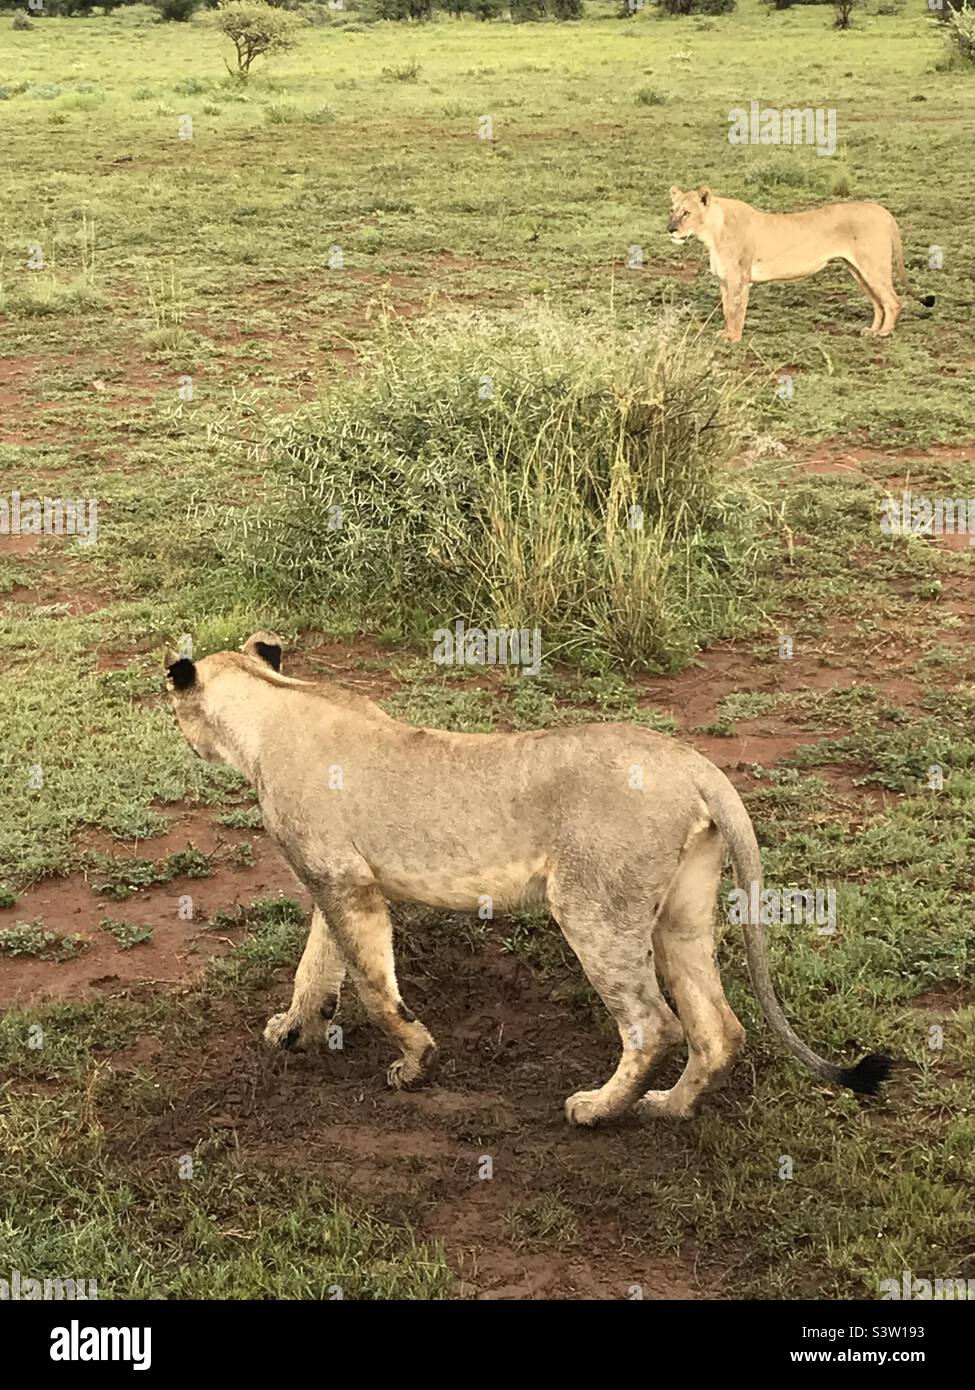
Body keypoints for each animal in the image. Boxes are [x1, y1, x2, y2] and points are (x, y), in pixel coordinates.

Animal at [165, 634, 891, 1125]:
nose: (184, 739)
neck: (271, 706)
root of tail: (693, 764)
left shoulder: (346, 882)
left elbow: (373, 986)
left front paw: (414, 1063)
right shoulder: (333, 878)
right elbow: (317, 966)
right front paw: (293, 1030)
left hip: (592, 906)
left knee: (654, 1025)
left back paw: (595, 1110)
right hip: (679, 913)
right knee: (719, 1030)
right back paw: (665, 1108)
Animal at [667, 185, 935, 341]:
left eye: (686, 213)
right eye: (672, 210)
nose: (670, 229)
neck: (711, 232)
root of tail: (883, 211)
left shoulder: (739, 278)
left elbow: (735, 310)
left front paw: (732, 337)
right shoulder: (724, 279)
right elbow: (726, 310)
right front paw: (726, 332)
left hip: (873, 266)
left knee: (893, 301)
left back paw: (885, 333)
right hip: (858, 270)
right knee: (879, 303)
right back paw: (873, 330)